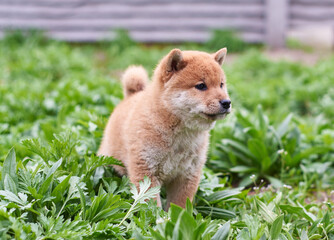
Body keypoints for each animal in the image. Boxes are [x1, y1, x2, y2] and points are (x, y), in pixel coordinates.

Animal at [98, 48, 231, 208]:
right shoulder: (145, 169)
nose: (227, 102)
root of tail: (130, 96)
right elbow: (151, 206)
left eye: (221, 84)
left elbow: (179, 206)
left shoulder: (187, 174)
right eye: (201, 86)